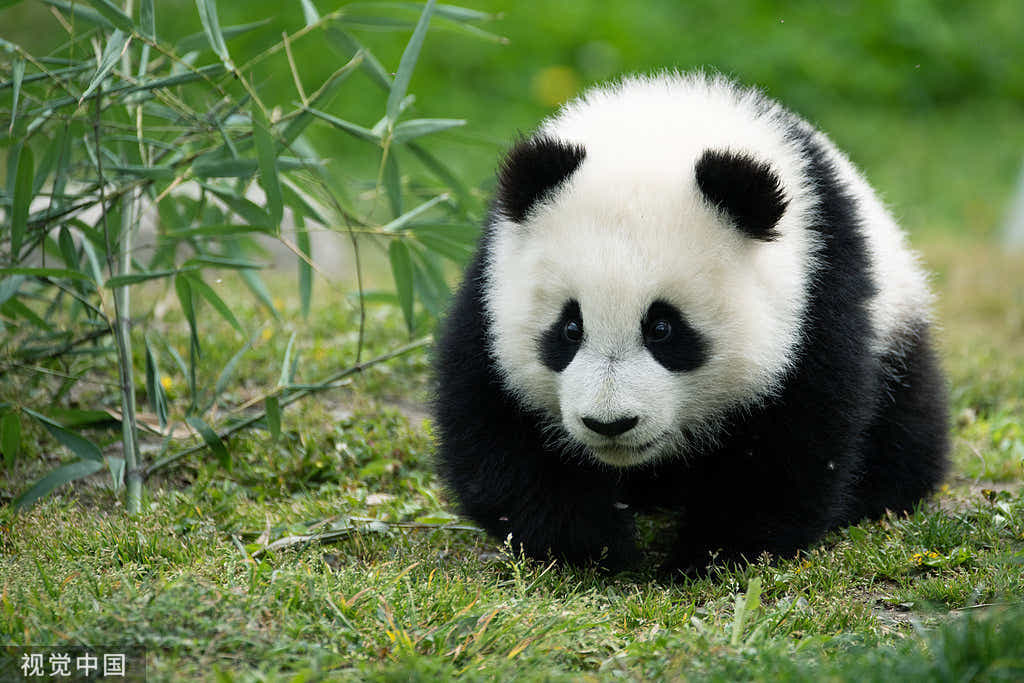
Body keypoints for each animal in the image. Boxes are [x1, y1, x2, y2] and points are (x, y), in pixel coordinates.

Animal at [433, 72, 950, 576]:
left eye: (663, 329)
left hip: (896, 323)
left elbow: (794, 434)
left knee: (907, 423)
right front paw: (594, 548)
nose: (610, 423)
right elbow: (495, 423)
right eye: (570, 329)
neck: (664, 127)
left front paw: (710, 554)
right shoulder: (491, 282)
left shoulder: (817, 284)